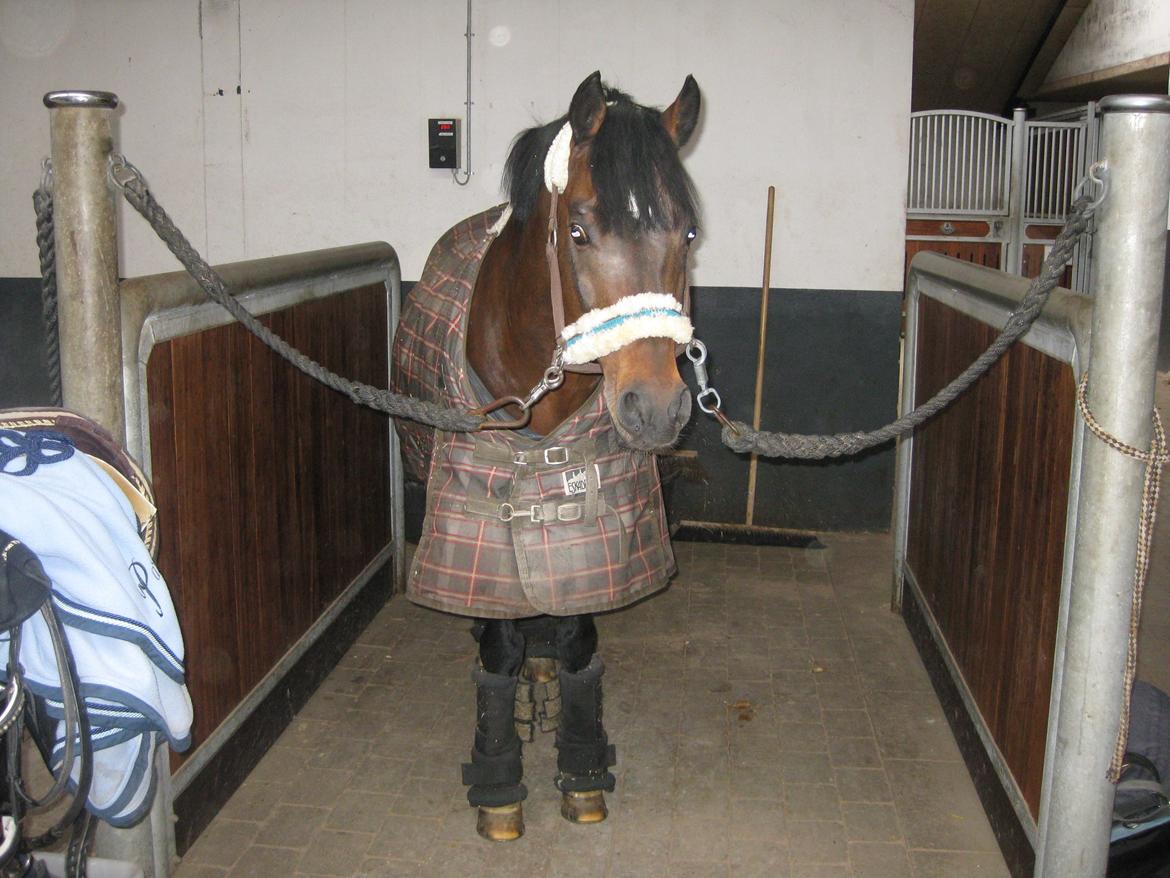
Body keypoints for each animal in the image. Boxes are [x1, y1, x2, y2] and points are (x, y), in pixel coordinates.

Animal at [391, 70, 701, 841]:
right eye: (581, 230)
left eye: (687, 230)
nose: (657, 409)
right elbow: (501, 648)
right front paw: (498, 779)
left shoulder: (590, 525)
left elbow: (576, 635)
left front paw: (582, 764)